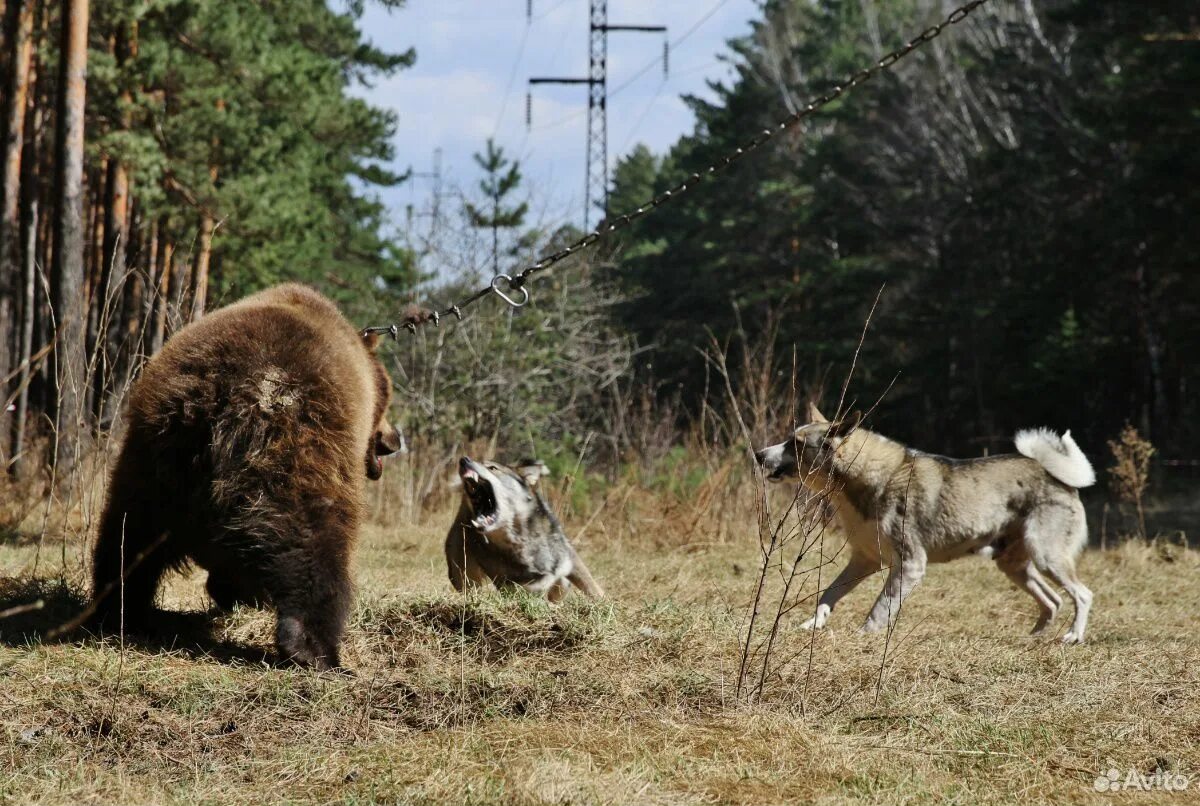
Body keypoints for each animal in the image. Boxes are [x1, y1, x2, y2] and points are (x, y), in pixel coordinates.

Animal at [90, 283, 398, 666]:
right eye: (387, 406)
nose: (393, 439)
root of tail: (210, 396)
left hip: (153, 454)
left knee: (129, 531)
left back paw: (119, 609)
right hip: (294, 437)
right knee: (310, 533)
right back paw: (314, 647)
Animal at [446, 455, 604, 602]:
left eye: (492, 468)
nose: (464, 460)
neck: (520, 540)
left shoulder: (568, 559)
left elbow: (589, 586)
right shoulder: (512, 584)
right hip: (463, 572)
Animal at [758, 405, 1099, 647]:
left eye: (795, 443)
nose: (759, 454)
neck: (864, 480)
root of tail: (1057, 477)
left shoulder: (909, 565)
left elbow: (879, 609)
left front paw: (862, 638)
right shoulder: (863, 562)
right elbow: (827, 596)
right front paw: (812, 625)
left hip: (1046, 556)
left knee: (1083, 595)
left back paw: (1073, 636)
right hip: (1014, 565)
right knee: (1053, 601)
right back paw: (1033, 637)